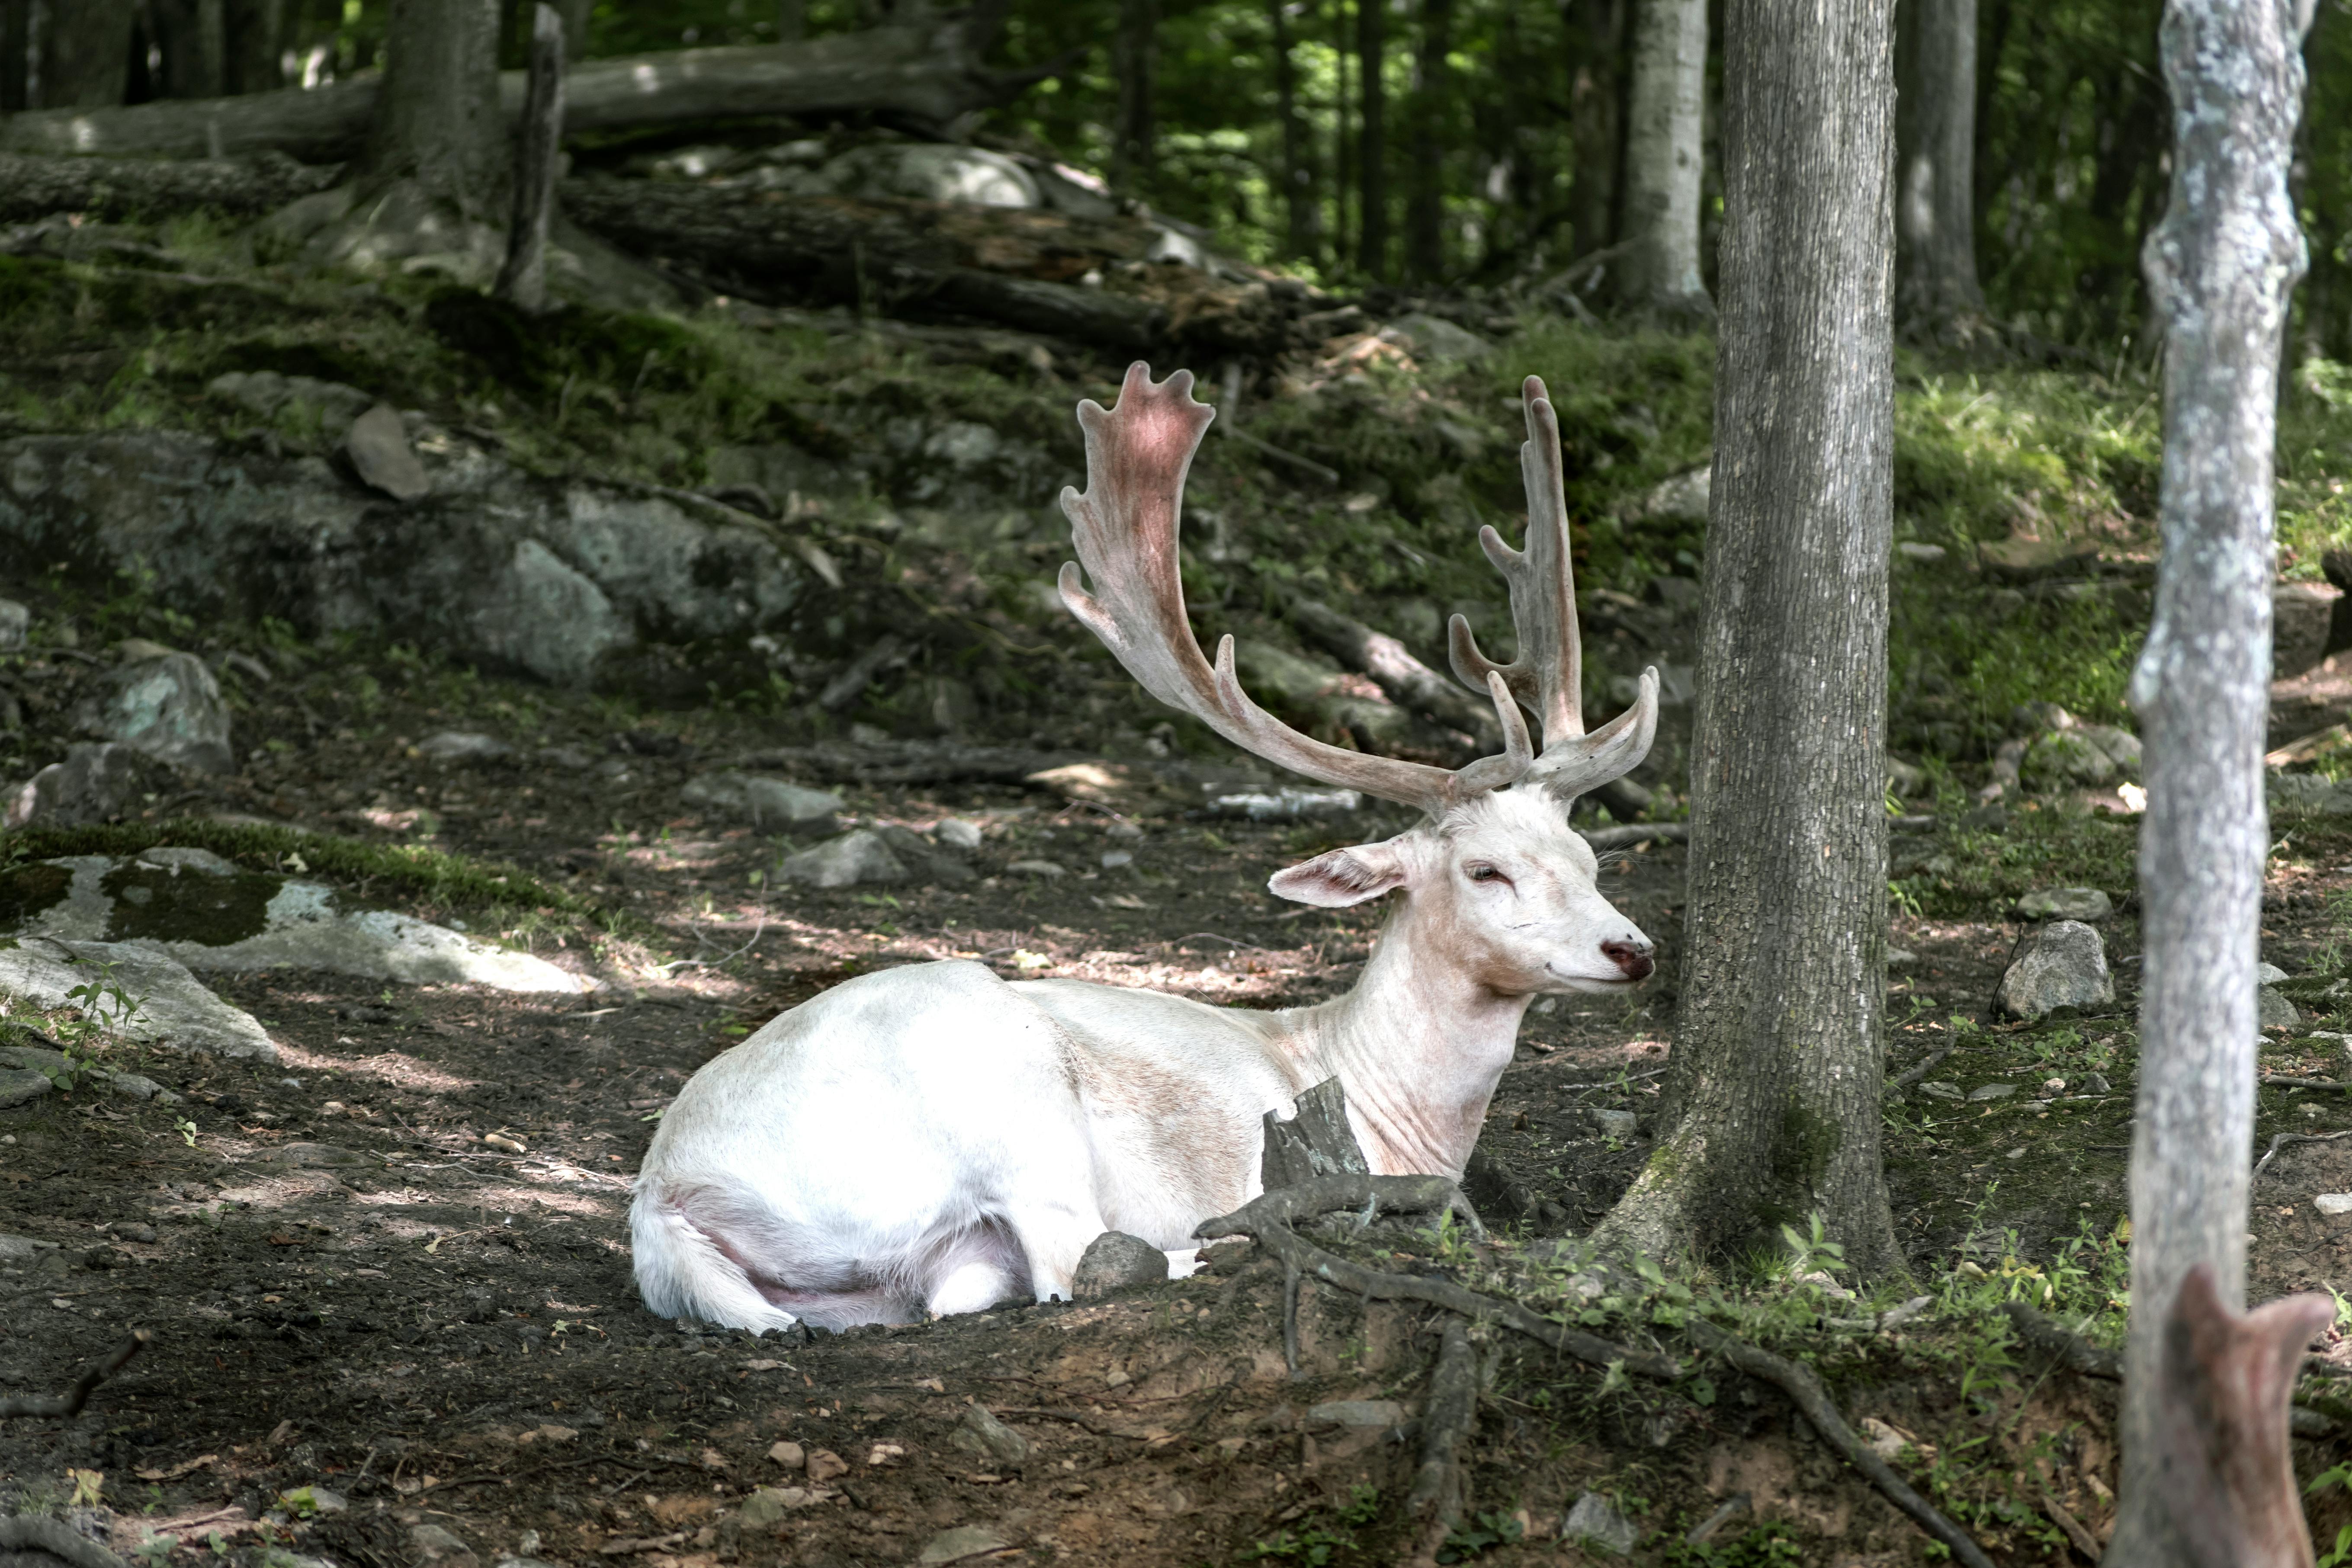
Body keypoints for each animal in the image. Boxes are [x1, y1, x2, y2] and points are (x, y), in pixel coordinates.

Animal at [626, 371, 1656, 1335]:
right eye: (1485, 870)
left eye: (1590, 858)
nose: (1633, 950)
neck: (1377, 1102)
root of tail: (661, 1194)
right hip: (1007, 1100)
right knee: (1083, 1260)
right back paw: (1241, 1239)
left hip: (889, 1267)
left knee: (964, 1291)